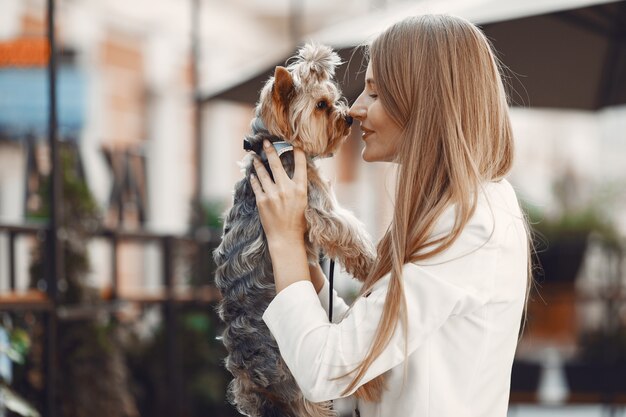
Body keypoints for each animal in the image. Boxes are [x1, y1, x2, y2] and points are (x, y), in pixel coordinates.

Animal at [212, 44, 372, 414]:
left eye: (335, 99)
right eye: (322, 105)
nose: (348, 118)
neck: (275, 143)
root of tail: (250, 375)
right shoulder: (317, 205)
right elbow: (348, 229)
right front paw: (369, 263)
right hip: (294, 379)